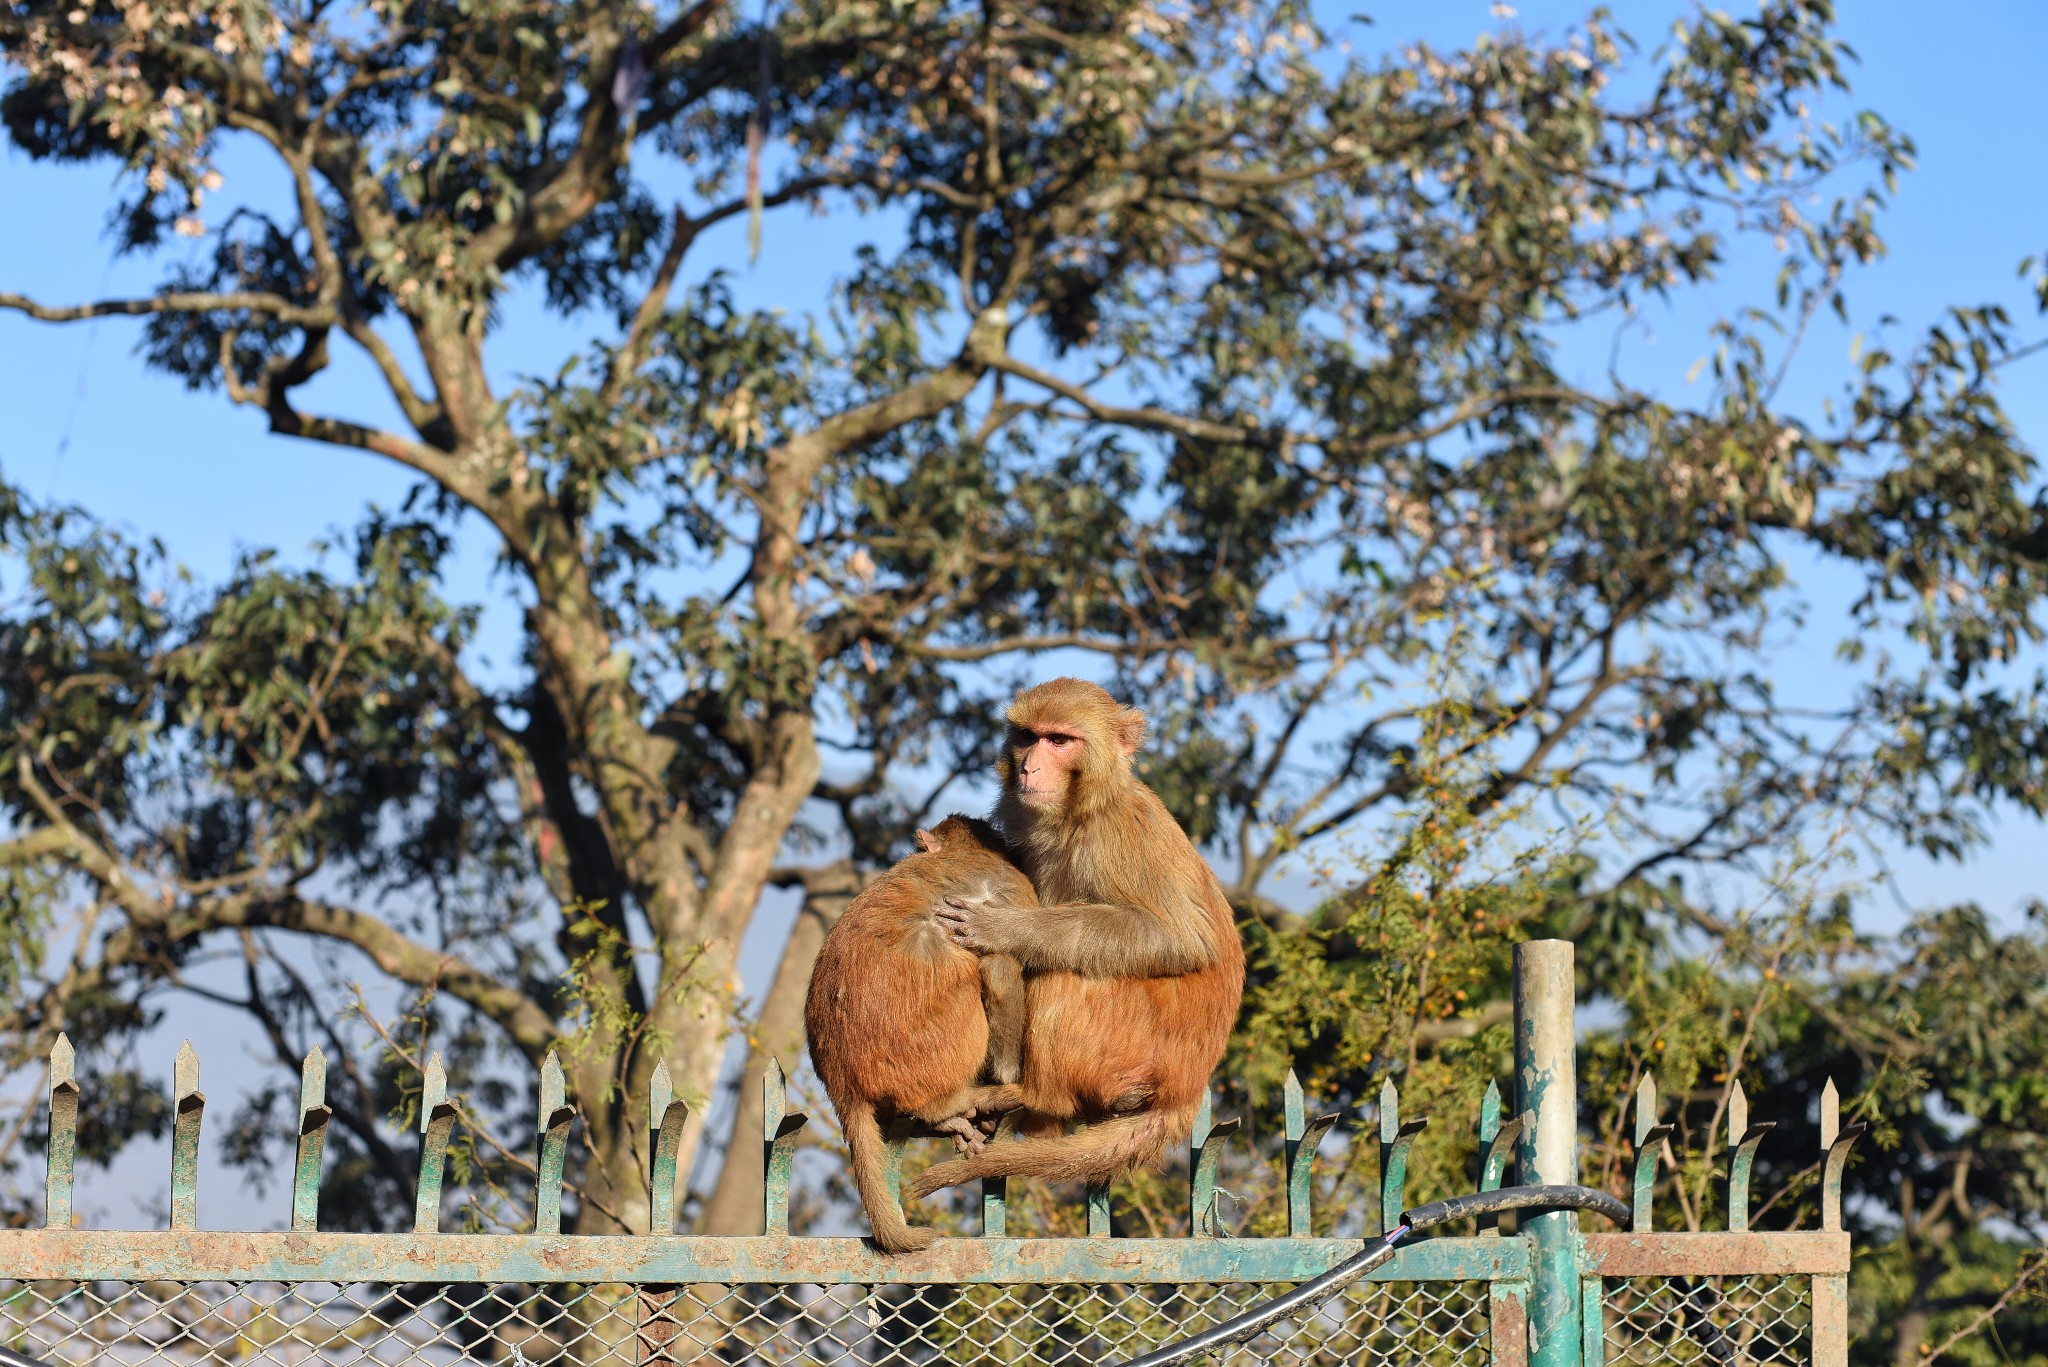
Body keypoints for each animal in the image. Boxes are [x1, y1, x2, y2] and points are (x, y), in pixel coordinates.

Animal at [794, 811, 1024, 1254]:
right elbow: (1003, 969)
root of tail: (843, 1082)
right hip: (926, 1050)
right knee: (966, 970)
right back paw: (946, 1104)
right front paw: (1011, 1080)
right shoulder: (1011, 889)